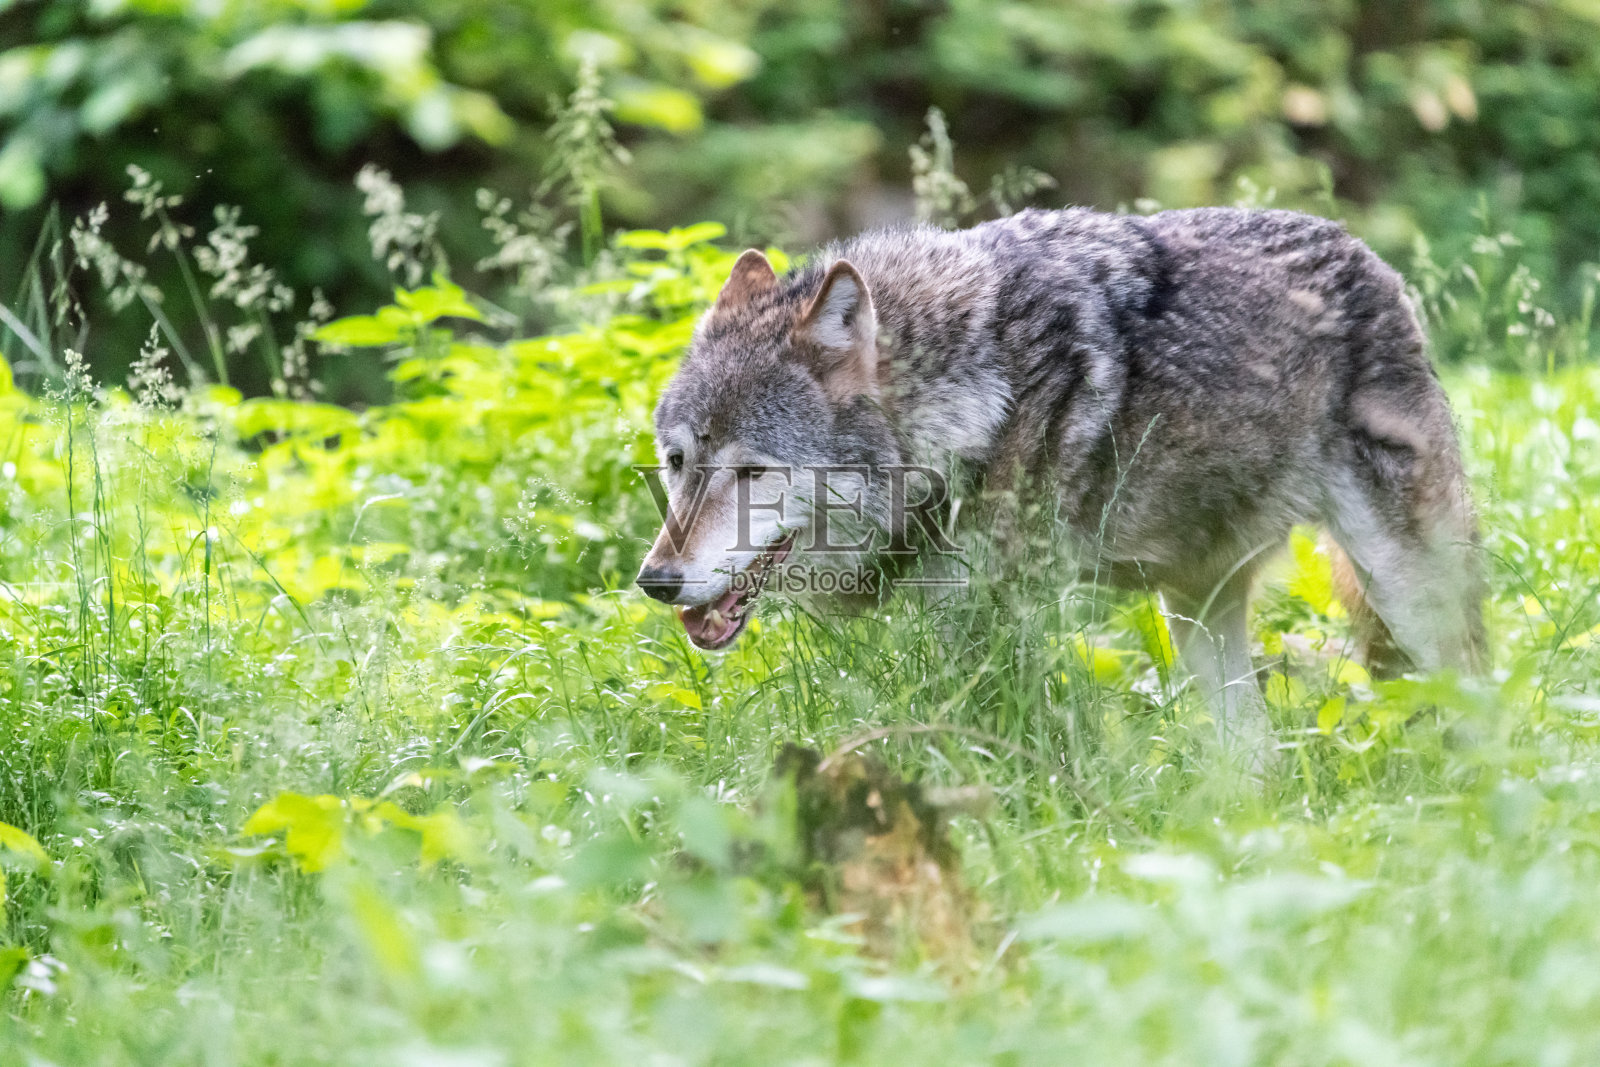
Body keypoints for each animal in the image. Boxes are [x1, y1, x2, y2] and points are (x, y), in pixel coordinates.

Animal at [633, 211, 1484, 751]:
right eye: (677, 462)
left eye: (753, 471)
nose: (656, 581)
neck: (969, 389)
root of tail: (1367, 256)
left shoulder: (995, 624)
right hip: (1197, 620)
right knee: (1255, 757)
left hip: (1411, 597)